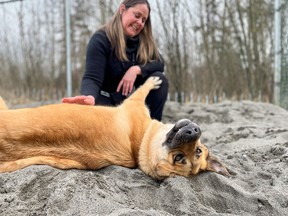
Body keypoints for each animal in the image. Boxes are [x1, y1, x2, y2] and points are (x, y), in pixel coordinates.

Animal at [0, 77, 230, 180]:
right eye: (199, 149)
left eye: (179, 158)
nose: (194, 131)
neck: (139, 143)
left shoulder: (133, 101)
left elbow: (141, 88)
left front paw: (151, 81)